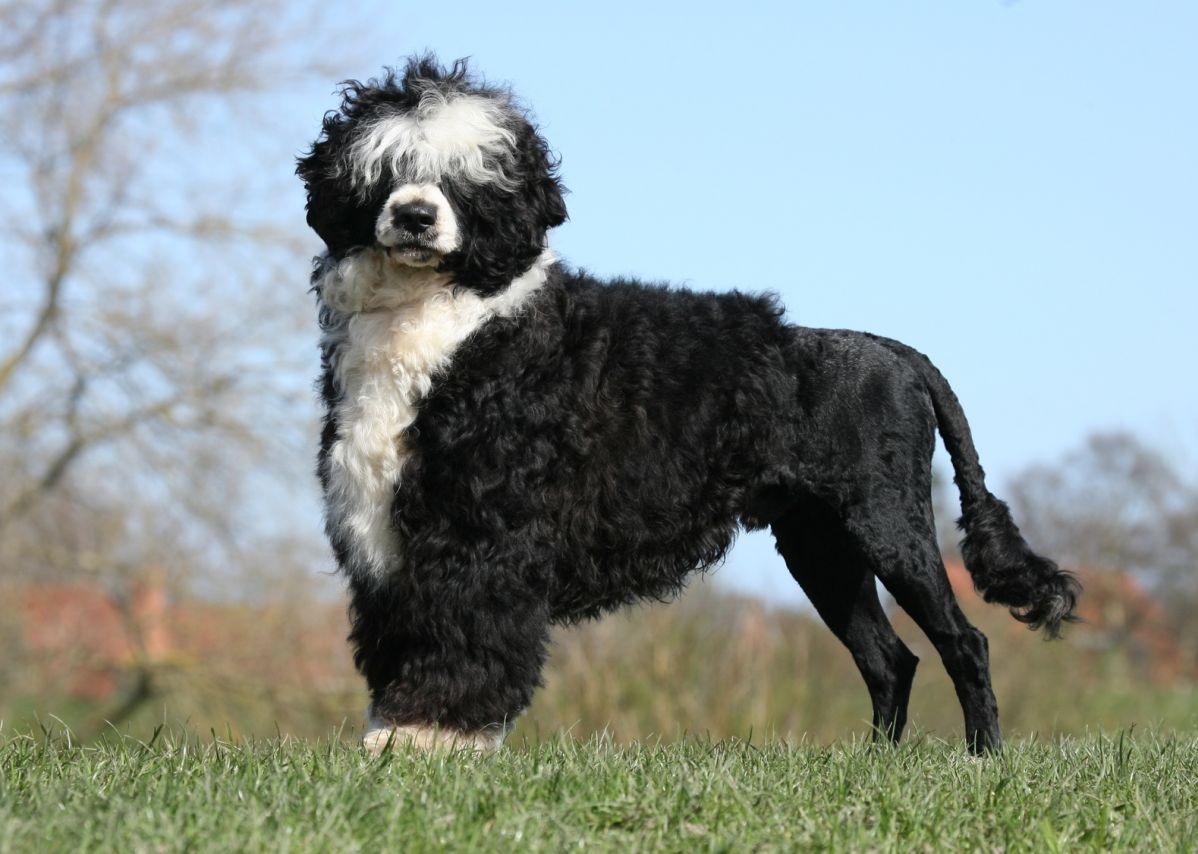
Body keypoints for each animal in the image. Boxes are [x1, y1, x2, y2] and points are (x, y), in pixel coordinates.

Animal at [294, 56, 1082, 752]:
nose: (416, 216)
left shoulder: (480, 533)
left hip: (890, 525)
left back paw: (983, 759)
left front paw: (434, 739)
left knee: (964, 642)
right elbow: (402, 641)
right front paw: (394, 738)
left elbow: (463, 637)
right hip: (822, 545)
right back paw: (876, 766)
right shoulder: (387, 538)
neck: (455, 318)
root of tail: (897, 352)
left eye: (470, 180)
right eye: (384, 169)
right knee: (890, 658)